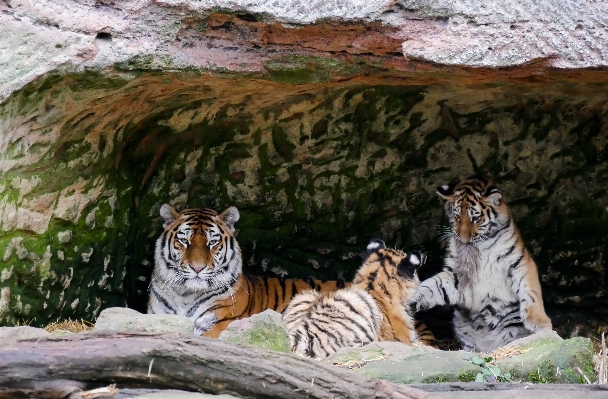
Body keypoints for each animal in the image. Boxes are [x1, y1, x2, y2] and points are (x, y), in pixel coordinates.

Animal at [410, 177, 552, 352]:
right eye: (457, 216)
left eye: (475, 218)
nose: (463, 239)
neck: (481, 246)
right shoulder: (458, 274)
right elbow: (434, 285)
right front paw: (413, 299)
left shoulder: (519, 262)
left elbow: (531, 290)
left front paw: (540, 323)